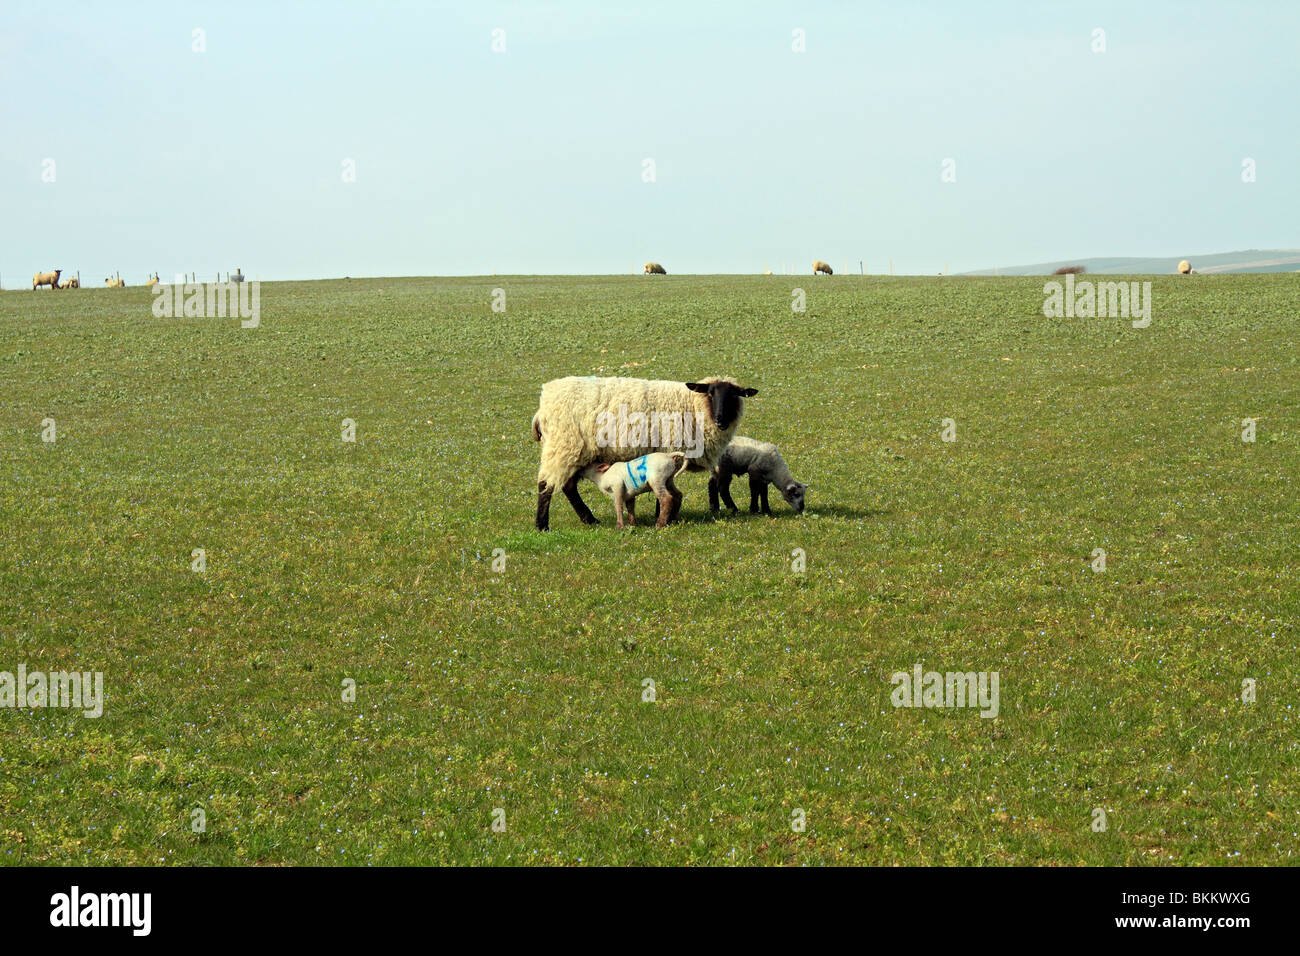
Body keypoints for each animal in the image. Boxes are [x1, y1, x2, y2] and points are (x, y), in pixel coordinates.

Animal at [527, 374, 759, 538]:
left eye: (734, 396)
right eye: (710, 393)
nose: (721, 420)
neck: (692, 405)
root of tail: (542, 407)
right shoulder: (666, 448)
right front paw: (661, 516)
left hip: (573, 451)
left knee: (567, 486)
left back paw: (589, 519)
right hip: (563, 446)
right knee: (546, 485)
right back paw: (542, 525)